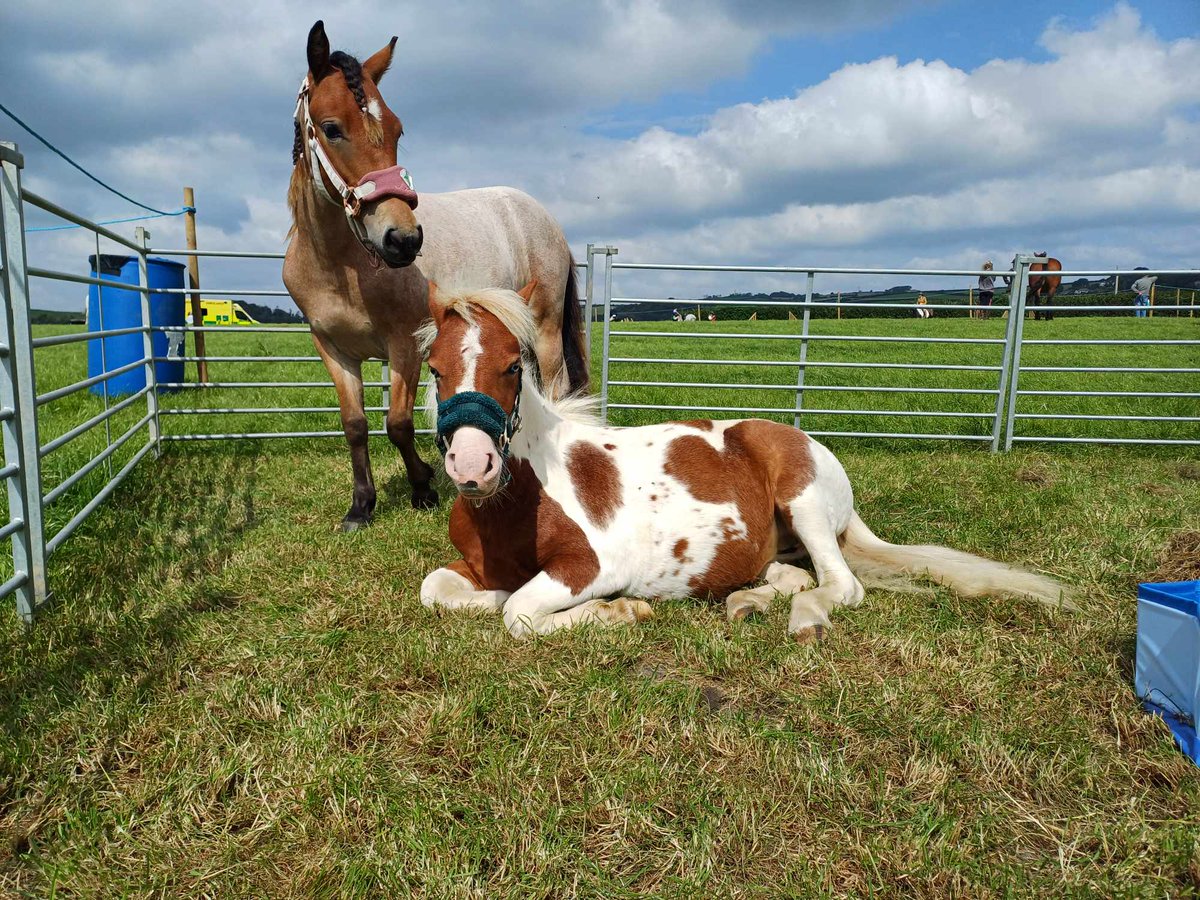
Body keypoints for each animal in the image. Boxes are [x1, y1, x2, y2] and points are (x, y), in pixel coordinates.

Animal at [282, 21, 588, 530]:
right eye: (331, 128)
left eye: (397, 129)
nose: (403, 240)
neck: (339, 266)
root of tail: (546, 219)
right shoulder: (333, 350)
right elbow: (355, 425)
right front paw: (361, 505)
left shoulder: (405, 346)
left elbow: (398, 423)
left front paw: (423, 488)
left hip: (545, 328)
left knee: (555, 386)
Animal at [417, 286, 1073, 640]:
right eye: (435, 369)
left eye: (513, 365)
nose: (472, 468)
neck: (519, 501)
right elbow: (439, 590)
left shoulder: (590, 565)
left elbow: (519, 613)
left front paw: (620, 610)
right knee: (796, 575)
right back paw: (749, 600)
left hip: (804, 504)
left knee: (842, 584)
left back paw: (804, 619)